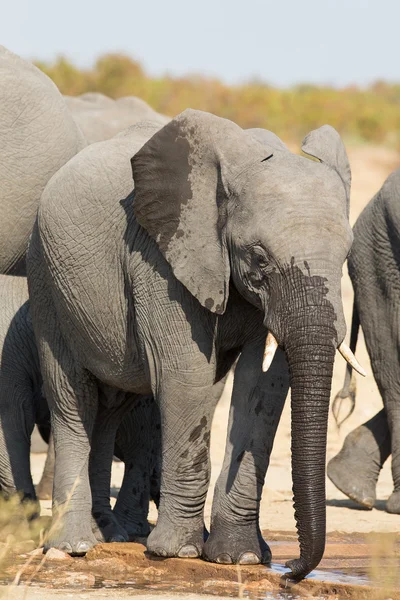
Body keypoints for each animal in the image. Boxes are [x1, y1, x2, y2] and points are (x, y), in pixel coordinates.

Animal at [27, 110, 360, 580]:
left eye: (347, 256)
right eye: (259, 257)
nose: (292, 570)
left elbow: (263, 386)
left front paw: (240, 557)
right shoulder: (159, 257)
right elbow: (185, 374)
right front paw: (180, 553)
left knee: (111, 409)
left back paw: (108, 535)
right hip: (45, 278)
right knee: (74, 398)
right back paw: (73, 545)